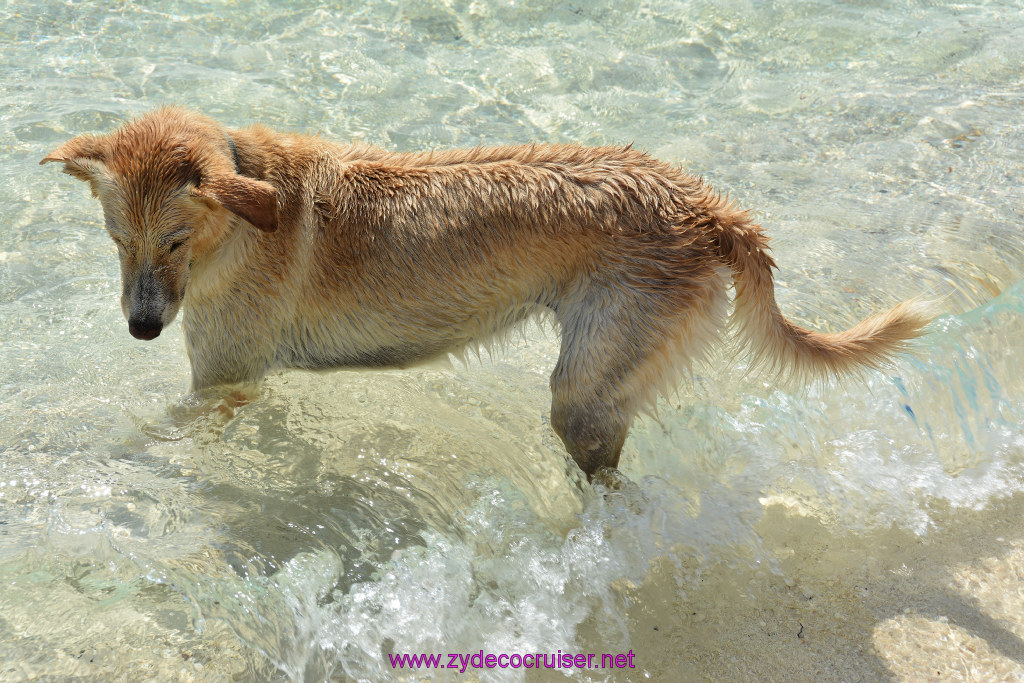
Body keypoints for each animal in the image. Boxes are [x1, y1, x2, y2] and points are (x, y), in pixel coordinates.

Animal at [39, 109, 937, 479]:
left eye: (174, 241)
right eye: (116, 239)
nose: (142, 329)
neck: (243, 209)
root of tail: (704, 205)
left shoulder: (220, 383)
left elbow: (153, 432)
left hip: (583, 391)